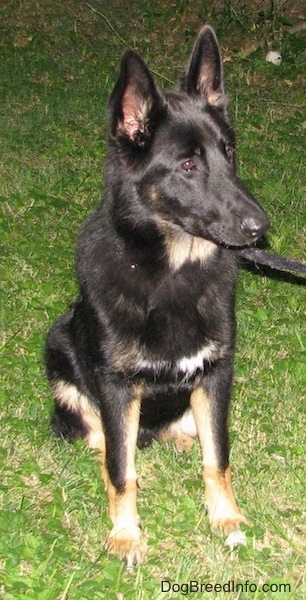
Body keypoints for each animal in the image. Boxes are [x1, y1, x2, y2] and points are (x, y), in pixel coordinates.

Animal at [44, 24, 268, 568]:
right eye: (187, 164)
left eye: (229, 152)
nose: (261, 229)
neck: (170, 273)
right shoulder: (117, 386)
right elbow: (121, 470)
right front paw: (126, 534)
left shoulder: (215, 374)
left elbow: (218, 457)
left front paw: (226, 518)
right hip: (59, 343)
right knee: (103, 440)